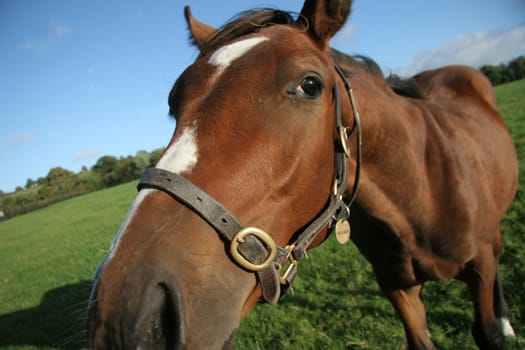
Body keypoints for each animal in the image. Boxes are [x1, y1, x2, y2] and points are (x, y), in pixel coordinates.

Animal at [86, 1, 516, 348]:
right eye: (174, 102)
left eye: (309, 85)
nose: (125, 317)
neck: (419, 192)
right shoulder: (398, 288)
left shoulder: (478, 269)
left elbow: (488, 331)